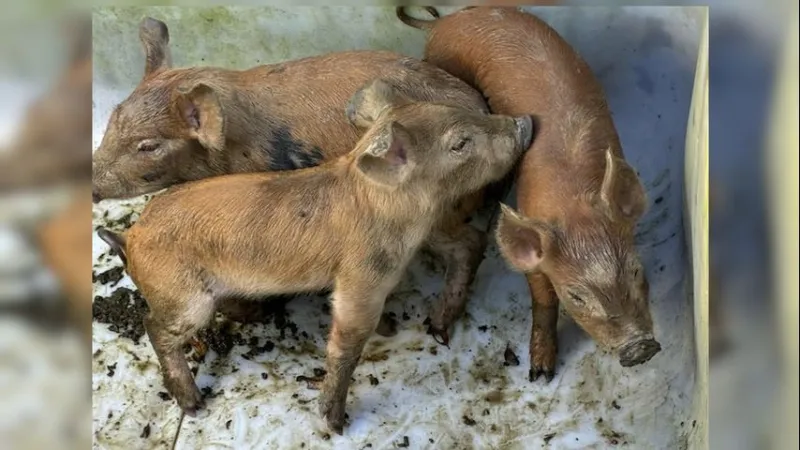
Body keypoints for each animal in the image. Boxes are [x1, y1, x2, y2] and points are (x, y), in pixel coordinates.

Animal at [92, 17, 502, 345]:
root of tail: (482, 110)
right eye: (112, 119)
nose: (93, 183)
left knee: (470, 243)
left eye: (148, 145)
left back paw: (438, 326)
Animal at [95, 79, 534, 433]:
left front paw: (402, 327)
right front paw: (335, 423)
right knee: (154, 326)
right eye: (460, 143)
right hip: (183, 298)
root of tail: (131, 237)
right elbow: (347, 342)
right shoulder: (361, 277)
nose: (525, 122)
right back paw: (195, 405)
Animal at [396, 6, 661, 380]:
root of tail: (443, 21)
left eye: (637, 270)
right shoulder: (536, 254)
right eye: (576, 296)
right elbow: (543, 300)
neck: (573, 205)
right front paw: (540, 374)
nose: (640, 348)